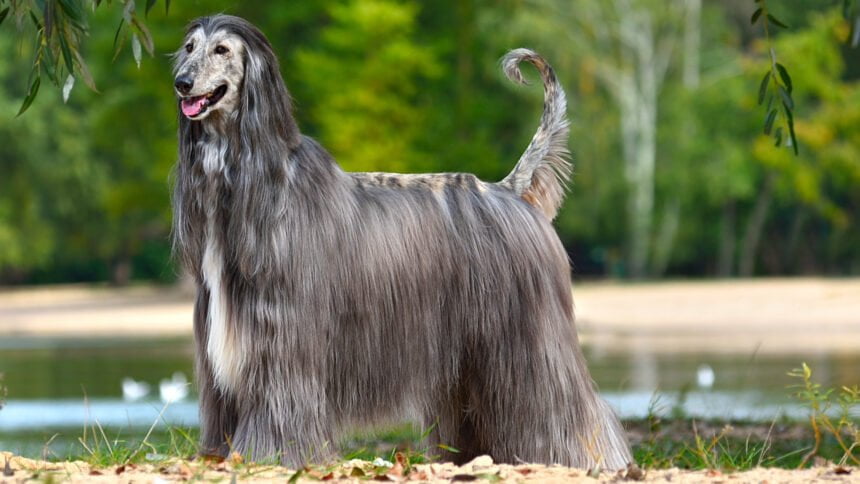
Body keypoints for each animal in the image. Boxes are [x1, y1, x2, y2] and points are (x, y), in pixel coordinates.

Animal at [173, 14, 632, 468]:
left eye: (222, 50)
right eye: (190, 47)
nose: (181, 82)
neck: (255, 178)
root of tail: (509, 189)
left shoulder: (281, 337)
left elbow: (278, 406)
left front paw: (269, 456)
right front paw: (220, 455)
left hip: (529, 335)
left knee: (568, 402)